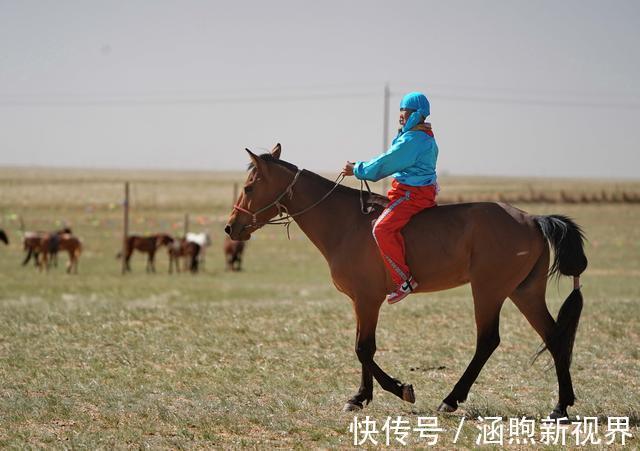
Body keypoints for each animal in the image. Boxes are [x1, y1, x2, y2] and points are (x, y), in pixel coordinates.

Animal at [224, 145, 584, 420]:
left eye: (250, 187)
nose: (230, 227)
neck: (345, 223)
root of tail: (533, 219)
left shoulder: (368, 299)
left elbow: (363, 348)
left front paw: (399, 390)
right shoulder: (360, 301)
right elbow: (363, 347)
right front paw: (360, 397)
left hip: (488, 291)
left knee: (488, 341)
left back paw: (451, 399)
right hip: (525, 293)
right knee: (554, 337)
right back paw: (560, 406)